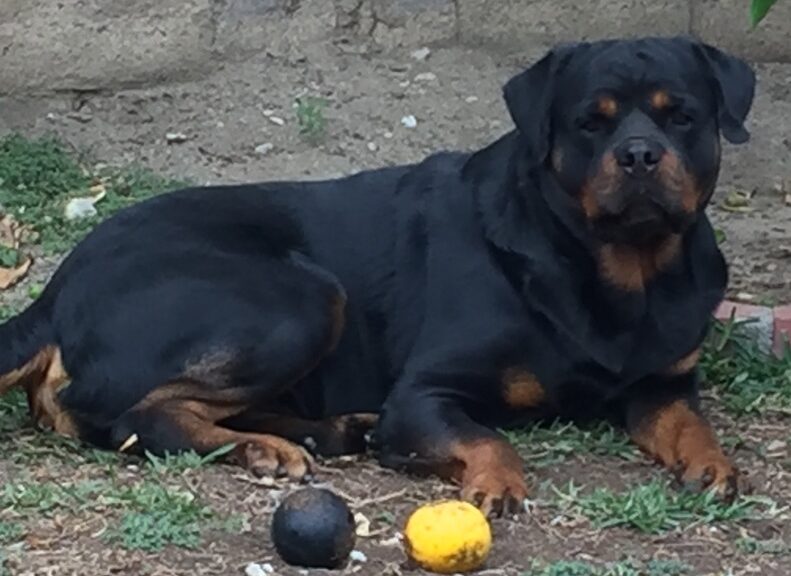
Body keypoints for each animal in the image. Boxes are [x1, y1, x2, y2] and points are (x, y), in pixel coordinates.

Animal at [0, 39, 756, 516]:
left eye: (682, 116)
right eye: (588, 124)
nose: (639, 154)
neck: (616, 269)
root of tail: (59, 287)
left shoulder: (661, 384)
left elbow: (689, 423)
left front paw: (713, 462)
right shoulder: (427, 391)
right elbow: (488, 436)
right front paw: (495, 481)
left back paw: (328, 431)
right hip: (301, 297)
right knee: (125, 412)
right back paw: (264, 448)